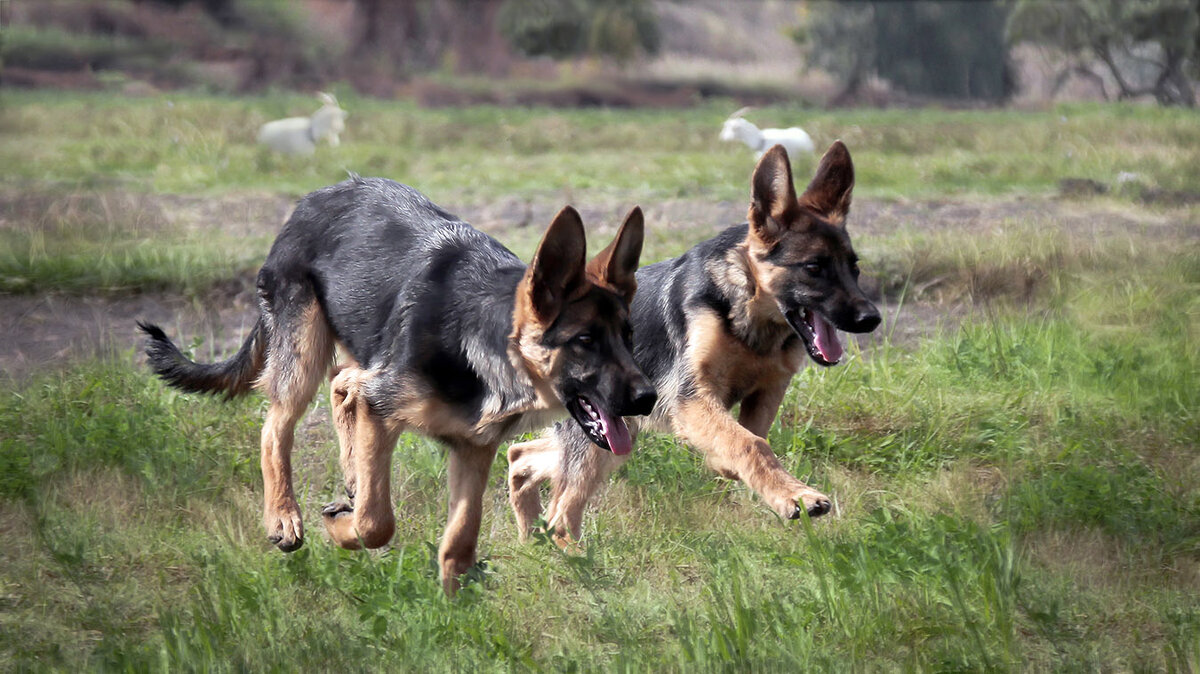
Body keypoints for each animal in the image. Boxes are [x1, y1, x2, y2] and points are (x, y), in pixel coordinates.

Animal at [140, 176, 657, 590]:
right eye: (585, 340)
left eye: (629, 336)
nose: (649, 398)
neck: (481, 339)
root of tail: (315, 197)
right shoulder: (384, 409)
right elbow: (376, 522)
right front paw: (342, 528)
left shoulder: (473, 447)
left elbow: (461, 538)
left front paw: (455, 607)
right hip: (305, 353)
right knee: (276, 430)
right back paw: (285, 515)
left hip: (363, 355)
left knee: (343, 386)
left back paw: (350, 472)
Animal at [506, 141, 883, 539]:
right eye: (814, 268)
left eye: (854, 268)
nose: (871, 318)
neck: (748, 315)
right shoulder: (692, 399)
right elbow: (751, 444)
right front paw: (795, 496)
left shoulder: (767, 390)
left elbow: (750, 436)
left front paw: (733, 469)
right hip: (600, 439)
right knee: (561, 515)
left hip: (612, 435)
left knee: (520, 457)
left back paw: (529, 535)